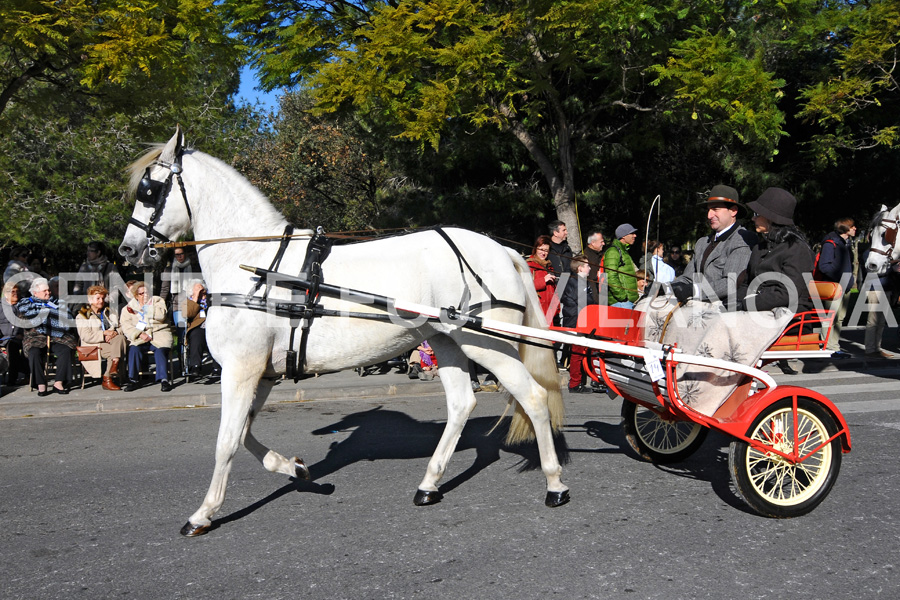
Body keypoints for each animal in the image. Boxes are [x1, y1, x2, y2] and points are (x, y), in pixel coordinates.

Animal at [119, 126, 568, 540]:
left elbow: (227, 441)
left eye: (149, 189)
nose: (127, 250)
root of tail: (503, 250)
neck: (253, 263)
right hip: (447, 340)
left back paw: (555, 484)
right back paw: (429, 483)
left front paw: (203, 513)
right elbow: (244, 434)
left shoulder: (241, 369)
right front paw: (294, 468)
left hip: (487, 343)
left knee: (533, 397)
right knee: (462, 404)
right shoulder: (261, 373)